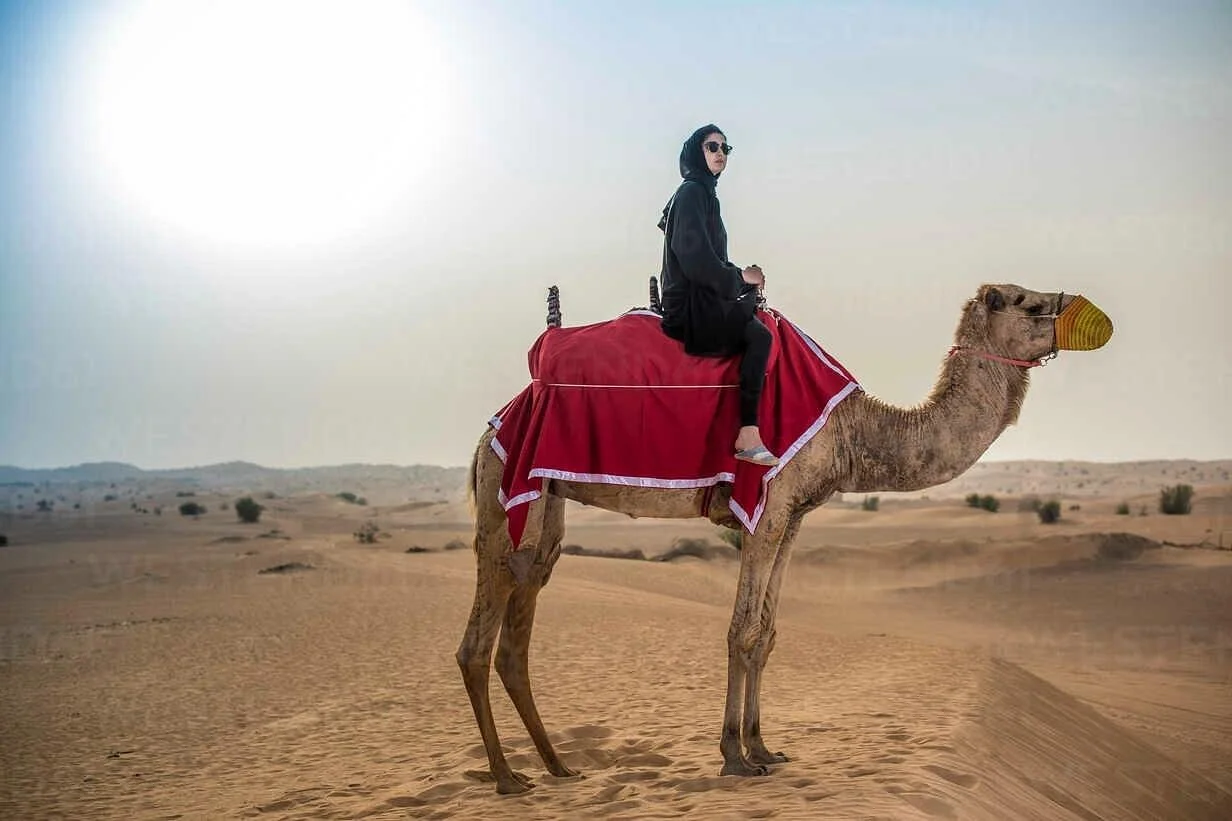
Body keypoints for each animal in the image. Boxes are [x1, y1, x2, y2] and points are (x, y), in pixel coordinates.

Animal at [456, 283, 1111, 794]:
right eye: (1029, 303)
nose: (1088, 314)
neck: (850, 431)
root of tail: (495, 422)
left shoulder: (792, 520)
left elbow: (767, 634)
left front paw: (764, 748)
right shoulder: (765, 513)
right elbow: (741, 631)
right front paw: (734, 757)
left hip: (546, 507)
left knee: (519, 622)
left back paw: (557, 767)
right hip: (505, 494)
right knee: (476, 642)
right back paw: (507, 778)